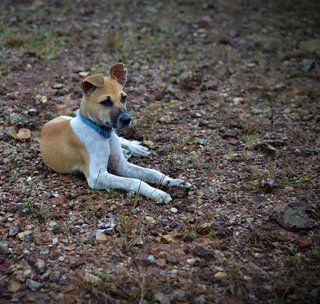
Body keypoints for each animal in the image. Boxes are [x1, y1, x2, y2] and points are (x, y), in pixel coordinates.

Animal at [40, 63, 190, 203]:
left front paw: (172, 180)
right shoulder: (97, 176)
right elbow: (135, 181)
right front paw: (157, 193)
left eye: (124, 98)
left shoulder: (121, 165)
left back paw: (134, 148)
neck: (101, 132)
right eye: (106, 102)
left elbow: (152, 172)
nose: (127, 120)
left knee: (121, 139)